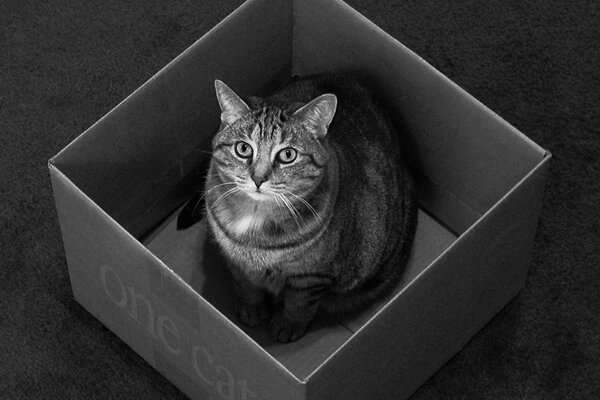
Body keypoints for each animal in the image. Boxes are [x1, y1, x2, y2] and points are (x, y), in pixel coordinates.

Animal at [202, 71, 418, 340]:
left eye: (287, 155)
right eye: (243, 148)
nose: (258, 178)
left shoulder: (312, 277)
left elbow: (300, 304)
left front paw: (288, 325)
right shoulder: (235, 261)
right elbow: (245, 285)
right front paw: (250, 307)